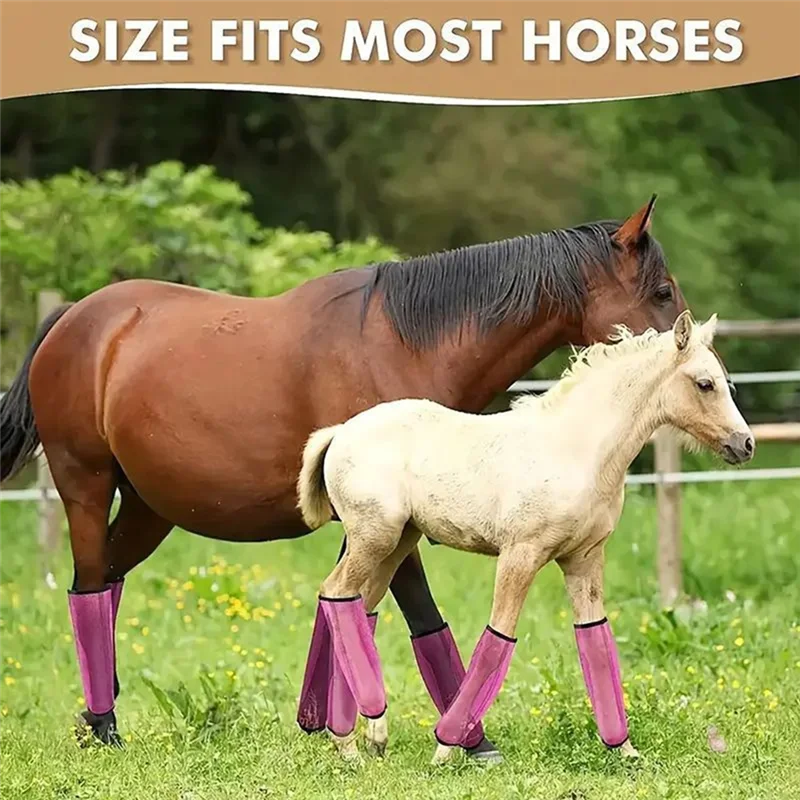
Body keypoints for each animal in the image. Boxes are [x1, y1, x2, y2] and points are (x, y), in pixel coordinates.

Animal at [0, 196, 687, 754]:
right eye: (661, 292)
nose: (693, 356)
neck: (404, 345)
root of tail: (74, 319)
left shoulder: (381, 521)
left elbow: (355, 609)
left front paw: (327, 723)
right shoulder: (394, 518)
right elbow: (417, 612)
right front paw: (466, 738)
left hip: (151, 508)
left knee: (106, 580)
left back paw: (97, 715)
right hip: (86, 486)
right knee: (89, 587)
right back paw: (105, 725)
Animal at [296, 311, 754, 764]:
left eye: (725, 381)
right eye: (705, 383)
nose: (745, 444)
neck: (576, 450)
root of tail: (340, 431)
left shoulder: (585, 559)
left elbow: (596, 638)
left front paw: (624, 749)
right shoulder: (521, 554)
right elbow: (499, 635)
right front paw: (447, 745)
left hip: (397, 544)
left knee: (359, 605)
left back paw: (362, 735)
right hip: (374, 537)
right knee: (335, 592)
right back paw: (352, 740)